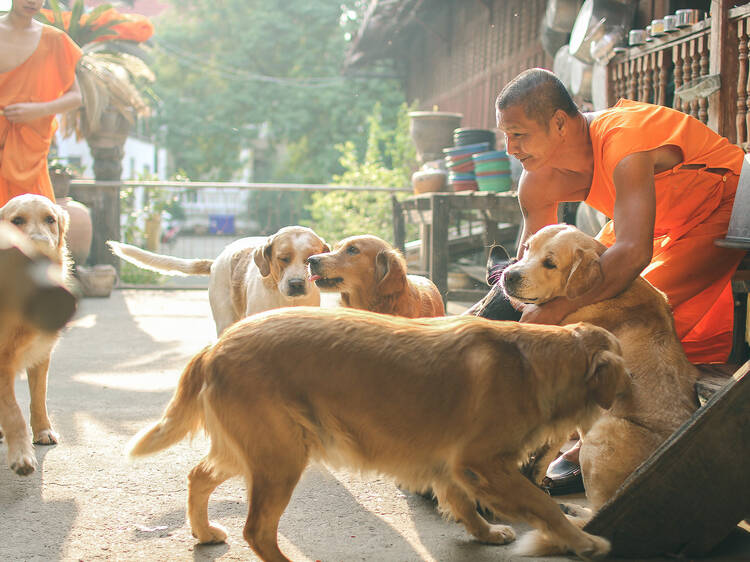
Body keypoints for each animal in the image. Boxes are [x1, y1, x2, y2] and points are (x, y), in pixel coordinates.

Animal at [131, 306, 636, 560]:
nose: (635, 389)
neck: (531, 363)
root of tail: (215, 345)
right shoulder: (482, 462)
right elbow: (542, 506)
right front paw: (583, 541)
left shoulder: (452, 464)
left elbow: (461, 504)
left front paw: (486, 532)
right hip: (280, 459)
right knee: (257, 530)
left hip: (256, 452)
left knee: (199, 476)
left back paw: (203, 531)